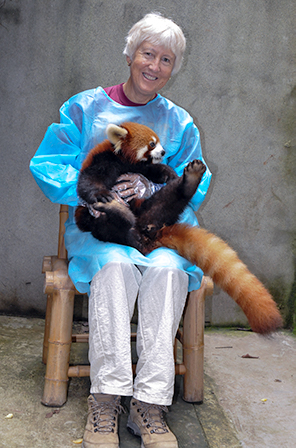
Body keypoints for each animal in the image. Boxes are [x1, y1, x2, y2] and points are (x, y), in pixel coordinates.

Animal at [75, 121, 282, 332]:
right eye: (151, 144)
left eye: (158, 142)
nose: (163, 151)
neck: (124, 159)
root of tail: (146, 230)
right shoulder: (103, 159)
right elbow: (89, 181)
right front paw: (101, 195)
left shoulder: (141, 168)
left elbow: (157, 172)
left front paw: (168, 174)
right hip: (97, 225)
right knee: (109, 227)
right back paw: (117, 212)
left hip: (154, 208)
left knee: (172, 196)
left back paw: (189, 180)